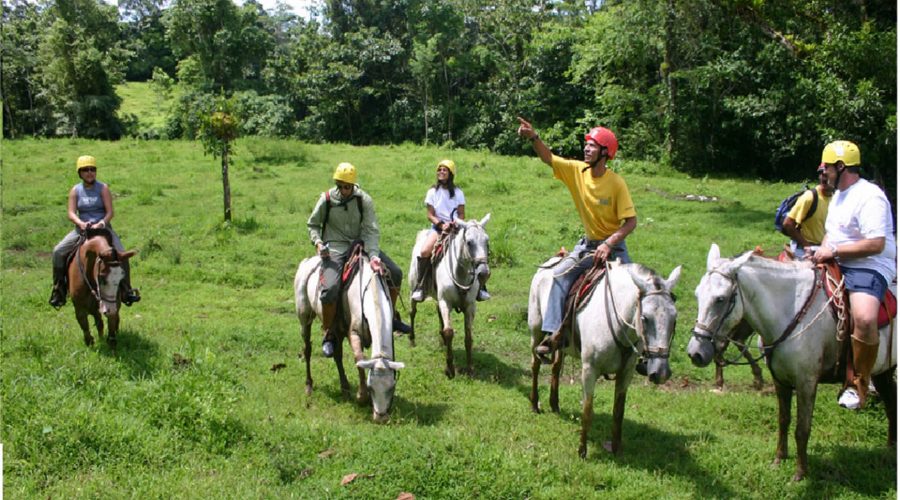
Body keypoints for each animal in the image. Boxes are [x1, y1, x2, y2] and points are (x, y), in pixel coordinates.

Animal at [294, 250, 406, 422]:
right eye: (370, 387)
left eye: (392, 388)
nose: (380, 418)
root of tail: (307, 262)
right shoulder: (353, 333)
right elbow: (359, 360)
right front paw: (361, 397)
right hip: (304, 318)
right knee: (307, 349)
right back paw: (309, 385)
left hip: (337, 329)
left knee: (337, 354)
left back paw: (345, 388)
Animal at [410, 213, 492, 376]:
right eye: (469, 242)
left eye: (487, 241)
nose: (484, 273)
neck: (459, 274)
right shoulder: (446, 302)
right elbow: (449, 332)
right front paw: (449, 369)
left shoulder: (470, 306)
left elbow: (468, 336)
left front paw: (470, 368)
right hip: (414, 288)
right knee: (413, 311)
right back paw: (412, 340)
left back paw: (441, 341)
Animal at [524, 258, 680, 458]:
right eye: (645, 318)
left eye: (674, 319)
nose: (661, 372)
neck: (617, 321)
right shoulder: (589, 369)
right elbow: (587, 410)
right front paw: (582, 451)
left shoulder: (626, 372)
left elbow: (618, 411)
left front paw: (616, 449)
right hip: (536, 330)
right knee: (535, 365)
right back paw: (535, 404)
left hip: (562, 346)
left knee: (556, 367)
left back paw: (554, 404)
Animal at [688, 244, 892, 482]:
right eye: (697, 294)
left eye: (720, 299)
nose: (695, 353)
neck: (792, 311)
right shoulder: (780, 380)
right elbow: (783, 420)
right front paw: (779, 460)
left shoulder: (806, 382)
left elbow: (802, 429)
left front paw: (800, 473)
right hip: (884, 370)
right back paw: (889, 451)